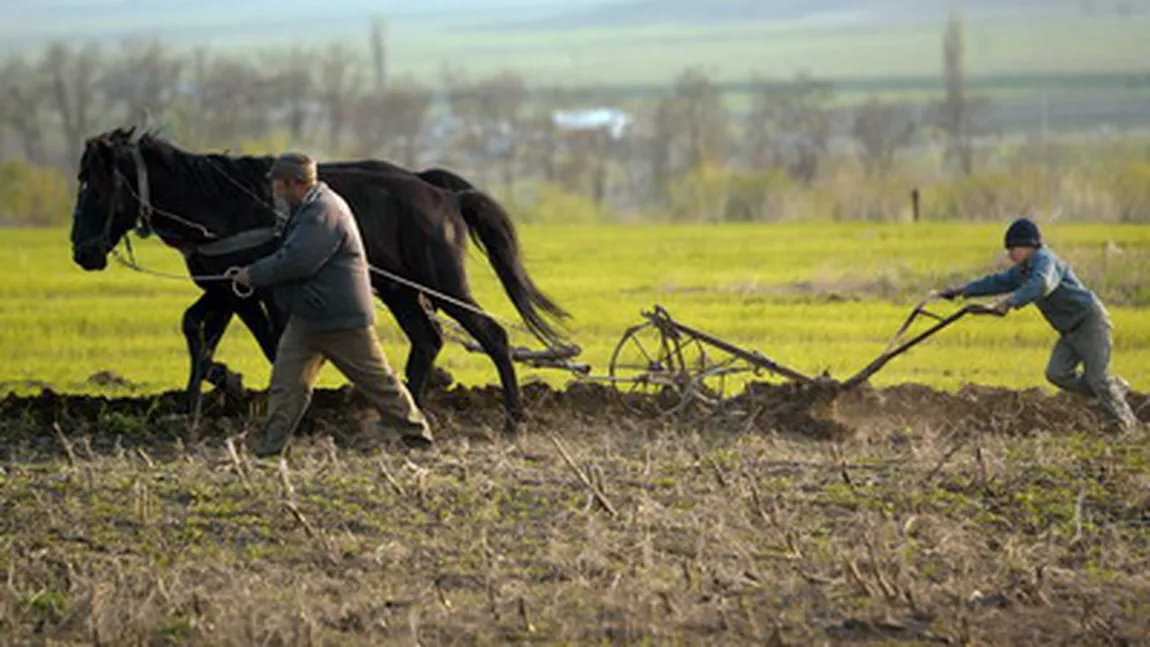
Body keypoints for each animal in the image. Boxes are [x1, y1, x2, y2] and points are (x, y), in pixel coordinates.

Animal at [69, 126, 568, 432]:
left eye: (95, 185)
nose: (81, 251)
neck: (220, 202)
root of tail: (444, 195)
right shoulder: (227, 286)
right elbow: (197, 332)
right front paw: (202, 399)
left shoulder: (252, 291)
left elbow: (271, 345)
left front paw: (285, 410)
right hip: (401, 289)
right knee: (427, 341)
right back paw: (407, 411)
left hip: (442, 283)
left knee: (493, 335)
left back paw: (513, 417)